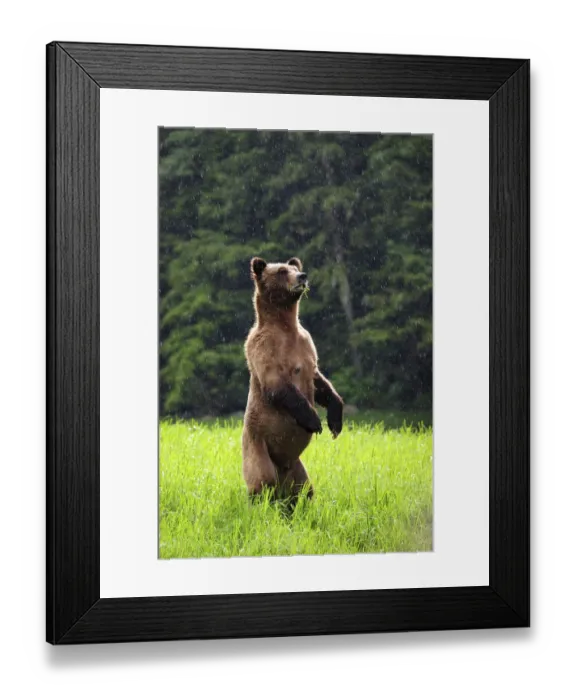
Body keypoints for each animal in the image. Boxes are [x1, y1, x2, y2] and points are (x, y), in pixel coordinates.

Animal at [241, 256, 344, 501]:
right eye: (281, 271)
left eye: (294, 267)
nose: (302, 276)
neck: (285, 327)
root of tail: (282, 468)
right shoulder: (263, 348)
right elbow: (278, 386)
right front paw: (315, 421)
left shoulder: (306, 345)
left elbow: (320, 382)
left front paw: (335, 421)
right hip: (256, 446)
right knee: (261, 480)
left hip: (297, 469)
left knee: (305, 490)